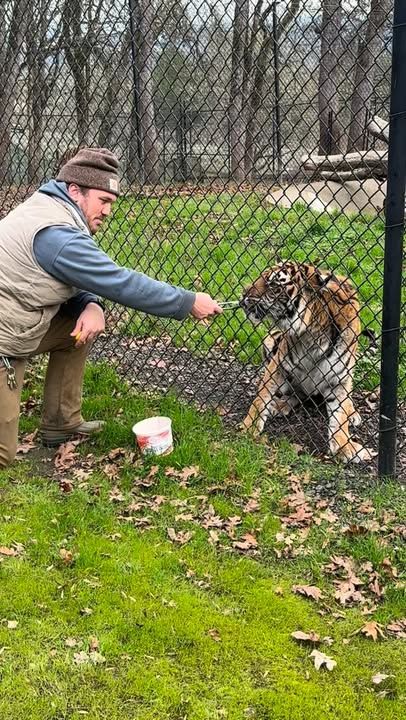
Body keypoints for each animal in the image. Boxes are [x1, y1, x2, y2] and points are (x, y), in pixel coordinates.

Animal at [240, 261, 375, 463]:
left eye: (274, 285)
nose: (243, 294)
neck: (313, 333)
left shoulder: (339, 378)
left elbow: (340, 415)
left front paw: (345, 447)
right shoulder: (278, 363)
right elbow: (261, 397)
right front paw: (249, 427)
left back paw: (353, 414)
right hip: (270, 341)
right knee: (297, 395)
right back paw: (279, 405)